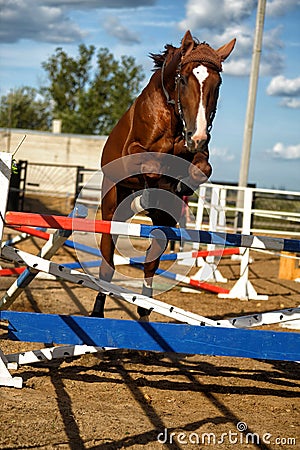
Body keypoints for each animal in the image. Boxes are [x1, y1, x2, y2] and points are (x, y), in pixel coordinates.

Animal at [90, 30, 236, 320]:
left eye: (217, 84)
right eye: (184, 79)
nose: (197, 136)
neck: (173, 116)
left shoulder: (198, 154)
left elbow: (202, 168)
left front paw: (182, 185)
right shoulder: (133, 153)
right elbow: (151, 162)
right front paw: (154, 188)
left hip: (162, 225)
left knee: (150, 263)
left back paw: (144, 309)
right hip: (112, 211)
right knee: (107, 262)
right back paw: (98, 310)